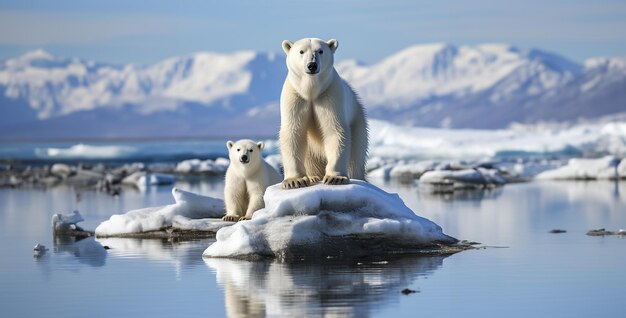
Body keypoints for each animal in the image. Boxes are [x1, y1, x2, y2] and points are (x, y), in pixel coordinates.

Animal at [278, 37, 366, 189]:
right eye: (301, 51)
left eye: (320, 51)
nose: (312, 65)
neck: (311, 91)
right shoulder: (295, 97)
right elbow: (293, 132)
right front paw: (294, 181)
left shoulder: (329, 95)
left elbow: (335, 130)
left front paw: (335, 178)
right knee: (309, 155)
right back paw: (312, 177)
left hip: (358, 122)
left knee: (356, 157)